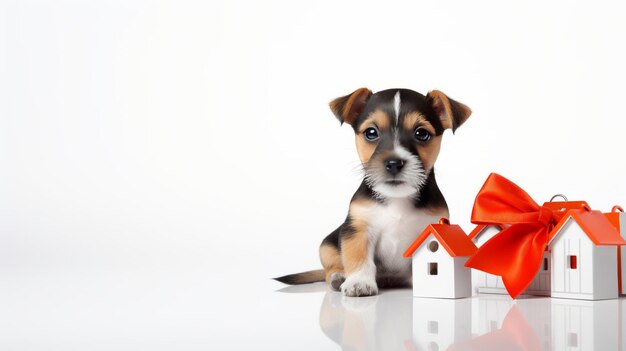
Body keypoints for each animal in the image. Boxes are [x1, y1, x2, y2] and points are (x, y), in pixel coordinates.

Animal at [272, 88, 468, 296]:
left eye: (421, 134)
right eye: (371, 133)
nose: (394, 163)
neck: (396, 199)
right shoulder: (358, 229)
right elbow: (358, 257)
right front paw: (359, 282)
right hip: (327, 245)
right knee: (329, 270)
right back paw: (338, 277)